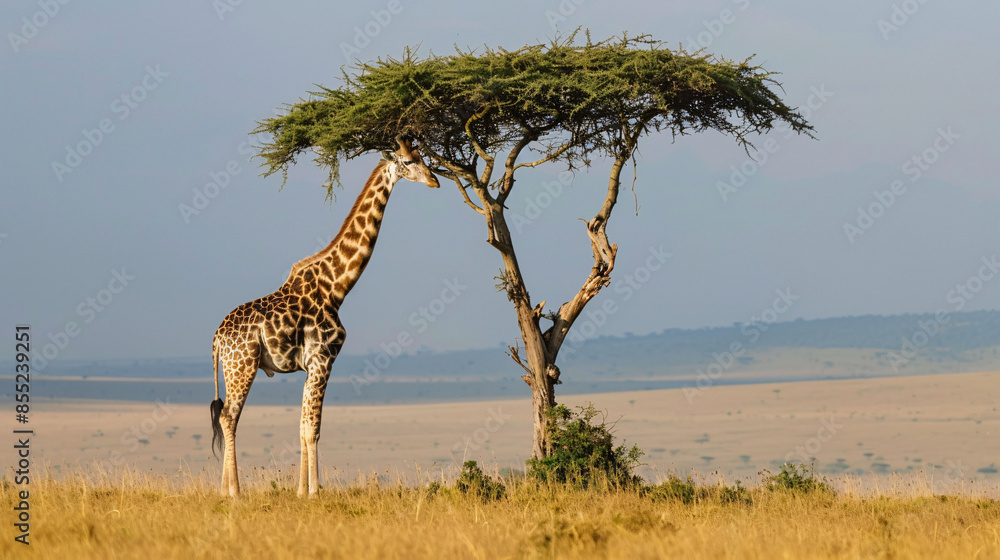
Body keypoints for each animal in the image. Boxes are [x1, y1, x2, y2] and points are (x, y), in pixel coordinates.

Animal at [210, 135, 439, 497]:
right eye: (407, 161)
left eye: (422, 156)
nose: (435, 180)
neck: (337, 288)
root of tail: (217, 338)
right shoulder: (323, 358)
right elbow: (313, 428)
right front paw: (315, 492)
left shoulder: (311, 365)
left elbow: (303, 425)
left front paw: (301, 491)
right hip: (242, 366)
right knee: (229, 417)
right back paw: (233, 492)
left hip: (235, 368)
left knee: (225, 418)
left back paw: (225, 490)